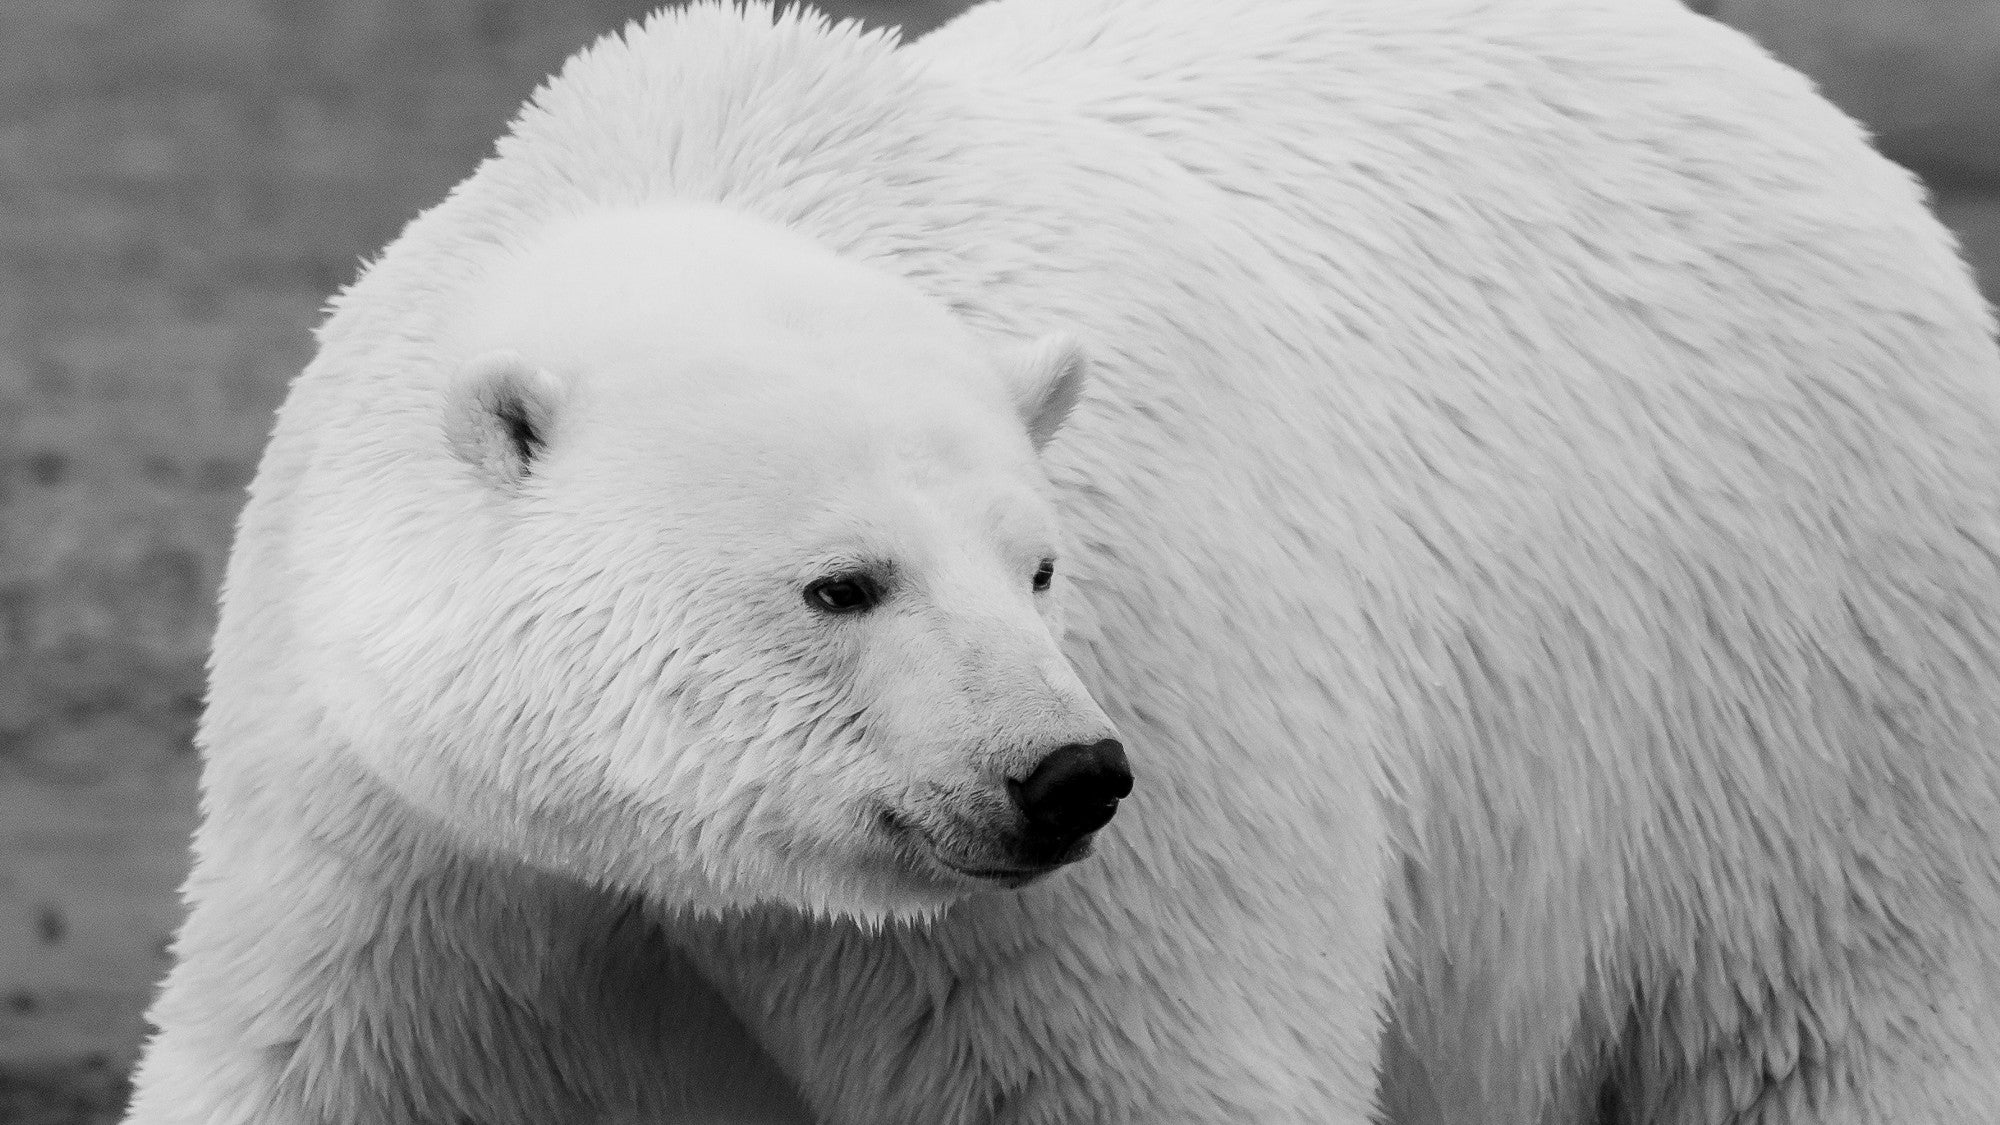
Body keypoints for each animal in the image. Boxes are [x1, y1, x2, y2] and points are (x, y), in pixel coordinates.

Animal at [126, 0, 2000, 1122]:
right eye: (844, 582)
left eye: (1040, 566)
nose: (1065, 774)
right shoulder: (410, 829)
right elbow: (332, 1066)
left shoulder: (1131, 805)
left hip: (1807, 690)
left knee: (1827, 1028)